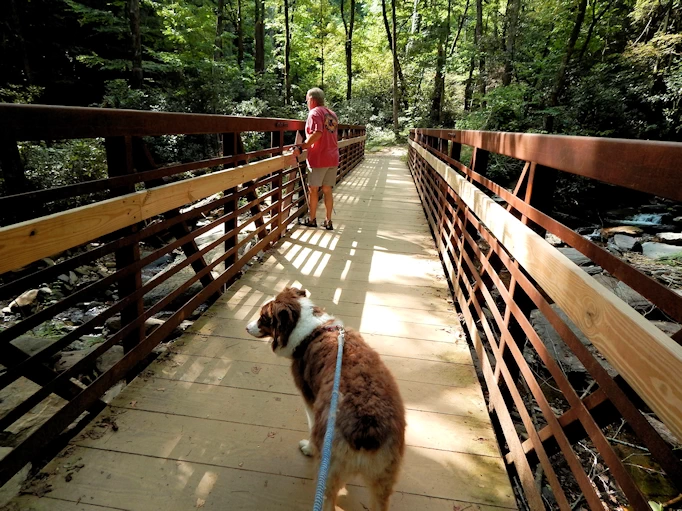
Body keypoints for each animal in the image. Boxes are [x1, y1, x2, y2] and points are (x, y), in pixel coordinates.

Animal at [244, 288, 404, 511]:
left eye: (263, 317)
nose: (246, 327)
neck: (310, 330)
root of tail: (367, 429)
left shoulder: (310, 399)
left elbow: (310, 428)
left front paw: (308, 448)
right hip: (382, 481)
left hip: (329, 471)